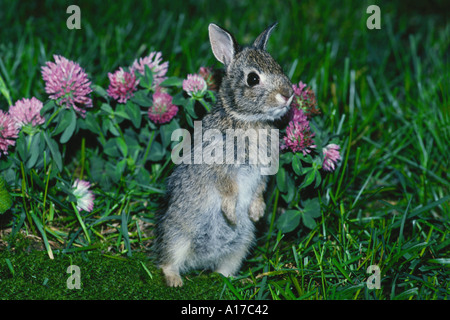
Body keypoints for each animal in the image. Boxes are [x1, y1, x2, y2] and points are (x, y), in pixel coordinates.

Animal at [156, 22, 296, 288]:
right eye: (253, 78)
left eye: (279, 67)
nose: (287, 94)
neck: (248, 119)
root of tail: (200, 261)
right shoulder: (220, 165)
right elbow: (228, 188)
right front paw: (232, 213)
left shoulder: (263, 171)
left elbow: (260, 188)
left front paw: (257, 212)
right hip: (178, 233)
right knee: (168, 258)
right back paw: (175, 280)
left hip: (242, 244)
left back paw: (226, 279)